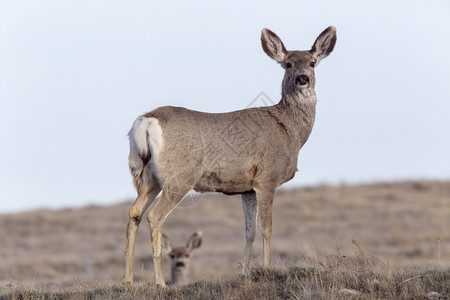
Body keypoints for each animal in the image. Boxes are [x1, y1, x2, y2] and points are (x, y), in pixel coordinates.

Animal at [125, 26, 336, 286]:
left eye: (313, 62)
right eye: (287, 64)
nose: (302, 78)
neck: (290, 131)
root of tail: (147, 121)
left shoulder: (247, 187)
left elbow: (249, 231)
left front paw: (244, 272)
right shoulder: (266, 178)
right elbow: (267, 228)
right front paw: (267, 268)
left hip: (147, 177)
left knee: (134, 213)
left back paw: (128, 279)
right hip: (179, 178)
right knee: (154, 216)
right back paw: (160, 282)